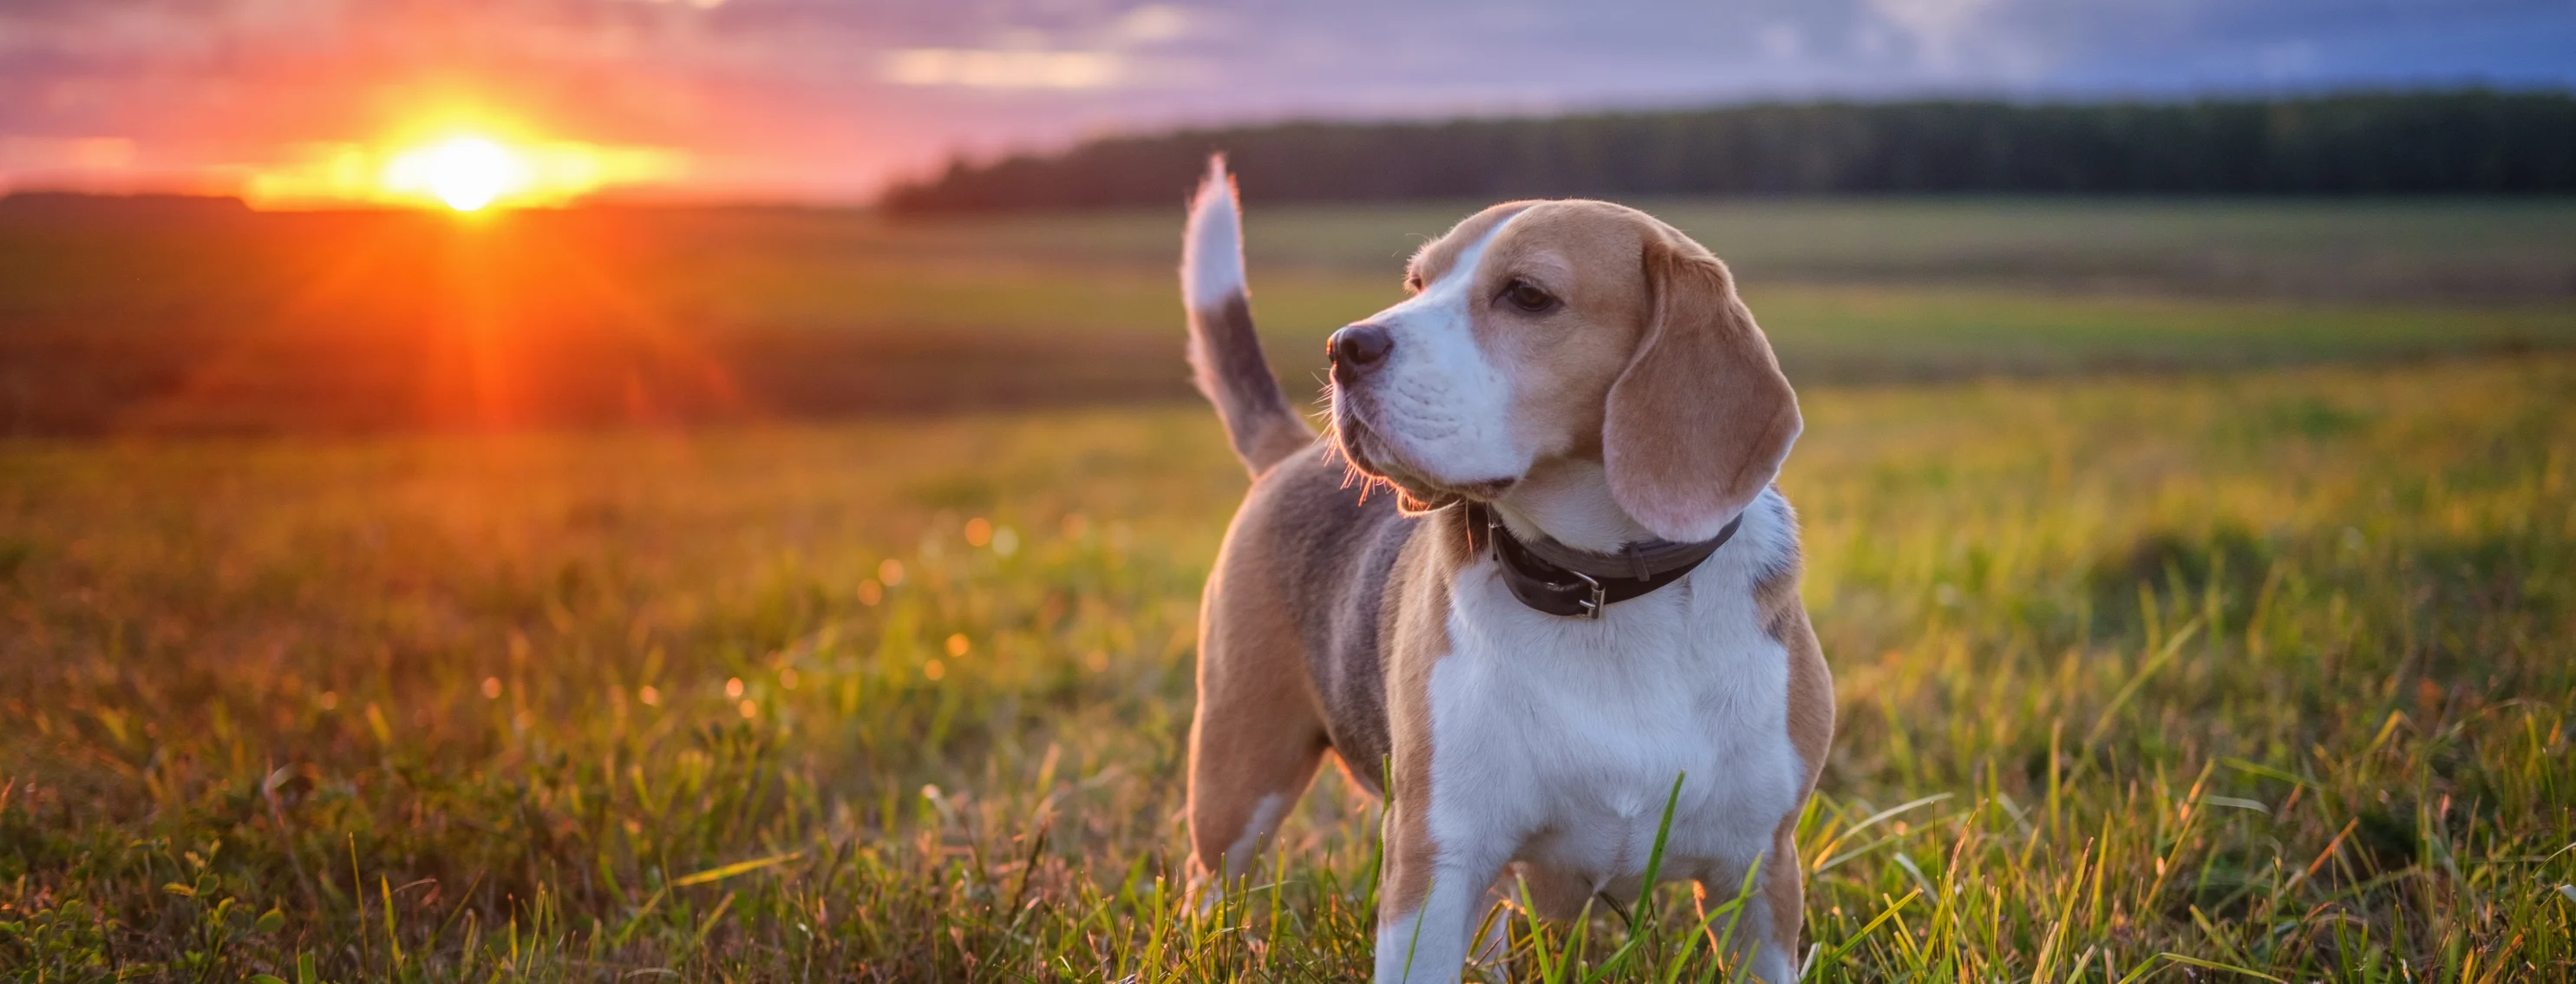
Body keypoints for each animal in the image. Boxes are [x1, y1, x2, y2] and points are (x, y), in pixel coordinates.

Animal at [1185, 157, 1834, 979]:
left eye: (1528, 295)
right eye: (1417, 283)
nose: (1342, 348)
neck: (1604, 592)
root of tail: (1292, 452)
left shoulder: (1759, 877)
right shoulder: (1435, 859)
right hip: (1237, 781)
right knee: (1207, 885)